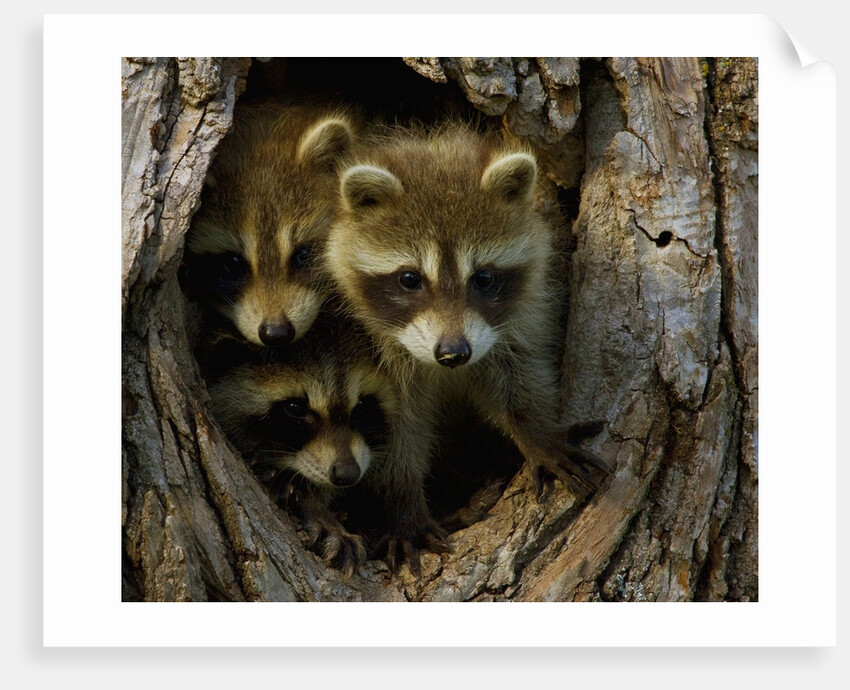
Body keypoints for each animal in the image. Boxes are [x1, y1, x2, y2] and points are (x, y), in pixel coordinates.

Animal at [326, 124, 610, 573]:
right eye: (410, 279)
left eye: (484, 278)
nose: (454, 353)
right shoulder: (375, 359)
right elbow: (394, 429)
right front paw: (403, 503)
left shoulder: (526, 310)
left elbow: (519, 375)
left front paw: (536, 432)